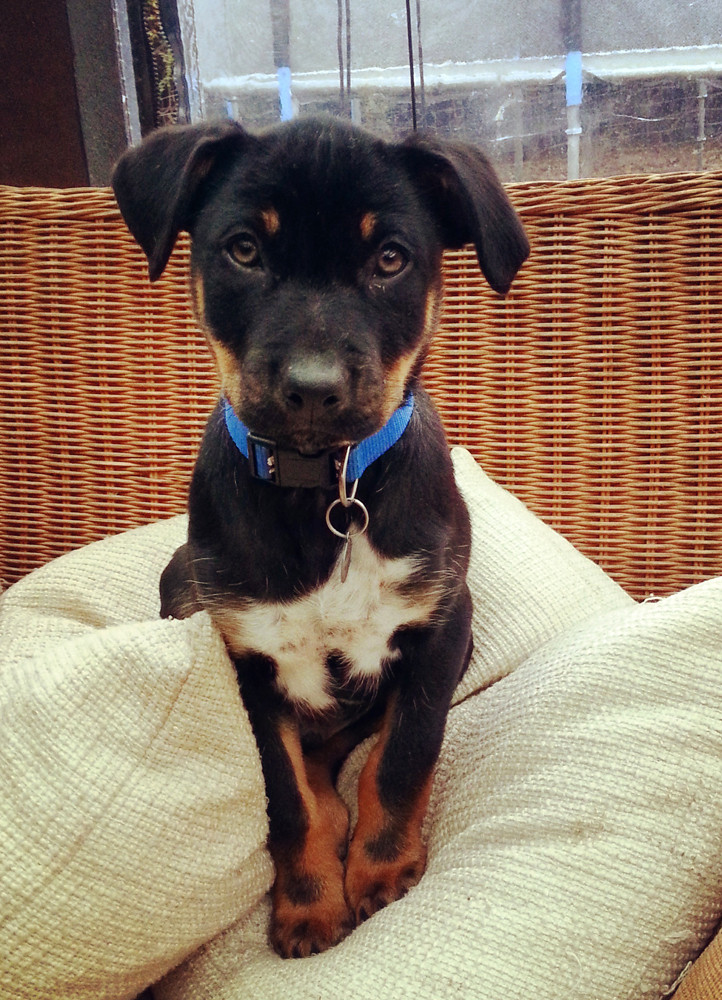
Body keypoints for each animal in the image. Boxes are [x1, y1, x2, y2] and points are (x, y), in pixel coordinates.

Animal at [112, 116, 528, 958]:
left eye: (391, 258)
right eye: (243, 248)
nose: (312, 388)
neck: (325, 495)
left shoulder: (440, 627)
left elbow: (401, 757)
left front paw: (382, 870)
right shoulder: (246, 663)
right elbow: (285, 795)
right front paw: (307, 905)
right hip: (181, 585)